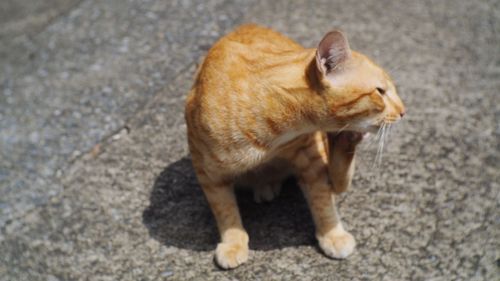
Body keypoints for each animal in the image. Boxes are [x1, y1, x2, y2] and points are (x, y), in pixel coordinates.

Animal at [186, 23, 404, 266]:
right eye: (380, 92)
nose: (403, 111)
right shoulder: (208, 172)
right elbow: (224, 210)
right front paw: (234, 242)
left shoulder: (311, 161)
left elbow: (322, 201)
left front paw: (332, 234)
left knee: (339, 179)